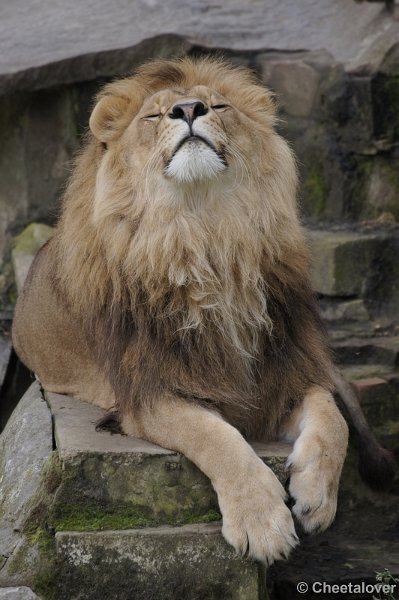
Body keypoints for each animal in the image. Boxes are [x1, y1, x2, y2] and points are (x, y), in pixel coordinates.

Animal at [13, 55, 350, 564]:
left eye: (219, 105)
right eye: (154, 115)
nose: (188, 109)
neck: (204, 234)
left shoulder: (281, 373)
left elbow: (333, 417)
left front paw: (318, 496)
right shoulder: (150, 392)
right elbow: (217, 437)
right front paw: (262, 522)